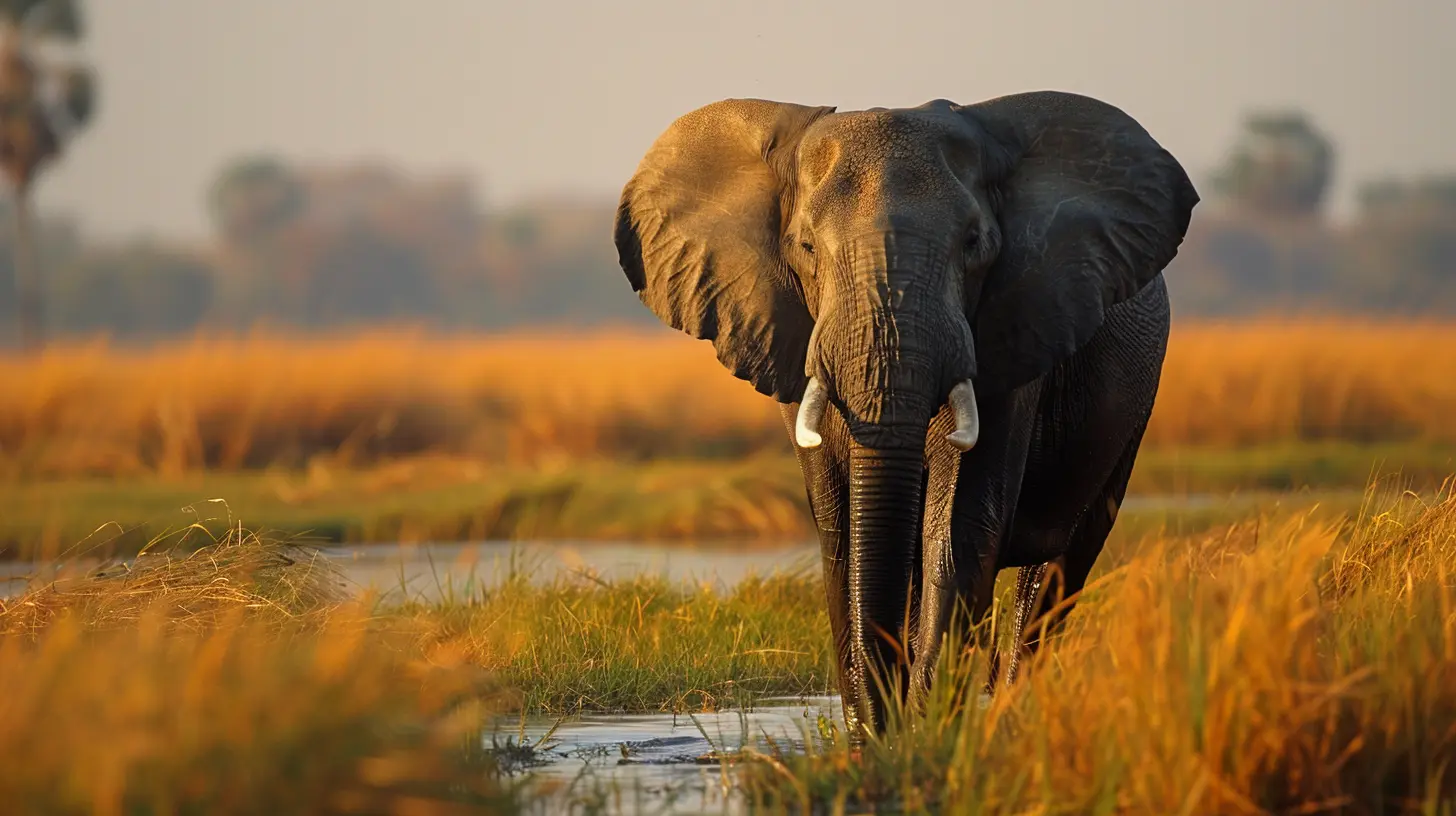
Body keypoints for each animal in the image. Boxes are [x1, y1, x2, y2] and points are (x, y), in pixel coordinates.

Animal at [612, 91, 1198, 739]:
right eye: (806, 247)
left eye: (974, 243)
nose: (885, 723)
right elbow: (842, 537)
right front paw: (874, 740)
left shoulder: (1012, 338)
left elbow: (956, 531)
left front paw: (923, 735)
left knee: (1062, 563)